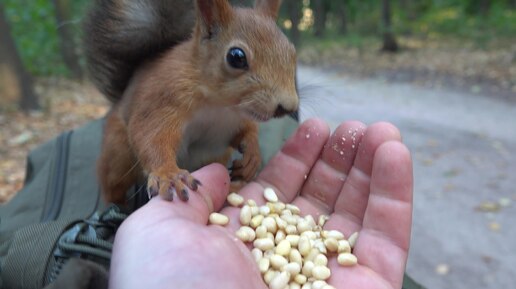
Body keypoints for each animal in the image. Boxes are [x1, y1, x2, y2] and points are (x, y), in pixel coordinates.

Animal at [84, 0, 298, 202]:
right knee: (113, 184)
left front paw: (253, 155)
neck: (220, 107)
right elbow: (149, 135)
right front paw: (169, 174)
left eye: (292, 51)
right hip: (118, 153)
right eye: (236, 57)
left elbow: (248, 131)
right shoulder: (163, 99)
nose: (287, 107)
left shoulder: (238, 120)